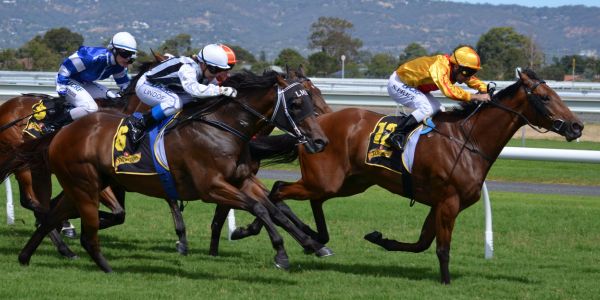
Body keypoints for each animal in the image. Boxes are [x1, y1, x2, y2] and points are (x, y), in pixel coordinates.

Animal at [9, 70, 336, 272]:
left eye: (310, 96)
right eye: (296, 102)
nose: (321, 140)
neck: (222, 127)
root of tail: (60, 132)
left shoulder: (242, 179)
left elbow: (274, 209)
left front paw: (312, 244)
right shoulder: (211, 187)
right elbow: (260, 208)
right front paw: (281, 253)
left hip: (84, 184)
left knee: (51, 213)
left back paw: (32, 254)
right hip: (84, 183)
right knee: (49, 209)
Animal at [219, 68, 580, 284]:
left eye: (559, 95)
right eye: (545, 97)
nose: (576, 126)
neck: (467, 141)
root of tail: (311, 129)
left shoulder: (441, 202)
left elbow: (422, 244)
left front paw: (380, 238)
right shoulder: (449, 201)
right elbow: (441, 247)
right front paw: (446, 281)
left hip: (348, 183)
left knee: (311, 199)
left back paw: (315, 240)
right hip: (325, 179)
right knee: (279, 189)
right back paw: (258, 231)